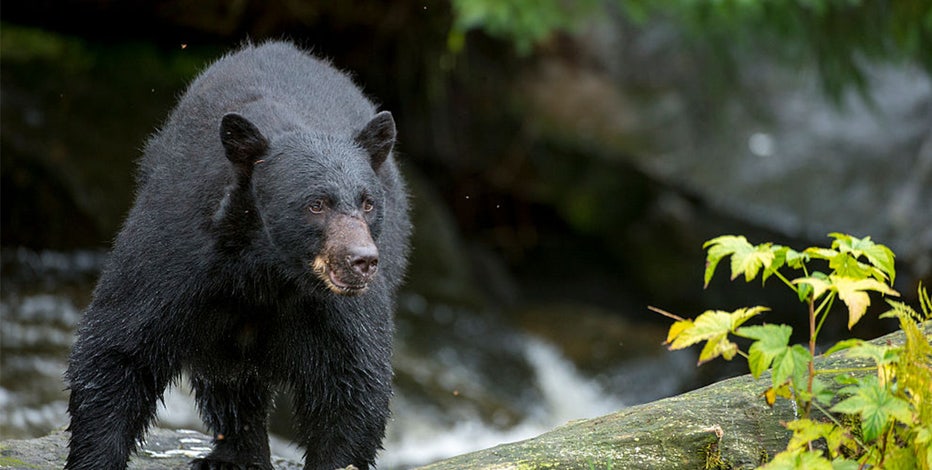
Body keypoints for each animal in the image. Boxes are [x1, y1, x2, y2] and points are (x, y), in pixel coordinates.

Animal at [64, 41, 411, 470]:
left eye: (367, 203)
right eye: (316, 204)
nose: (361, 261)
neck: (268, 269)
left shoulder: (335, 308)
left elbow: (352, 379)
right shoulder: (178, 252)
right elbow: (120, 347)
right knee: (229, 379)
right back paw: (233, 456)